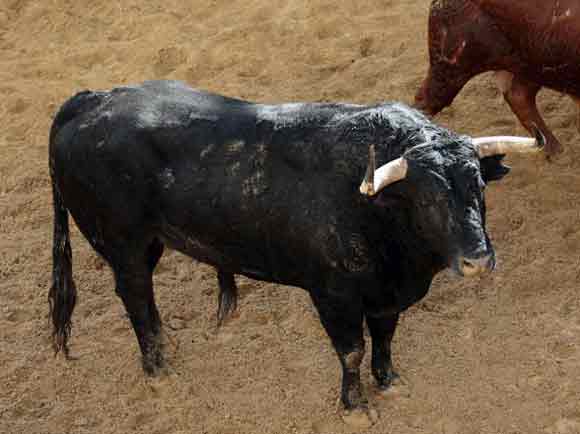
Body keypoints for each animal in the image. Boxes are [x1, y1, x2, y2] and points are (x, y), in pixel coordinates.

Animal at [47, 79, 540, 422]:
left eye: (479, 187)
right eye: (426, 199)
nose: (478, 261)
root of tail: (91, 100)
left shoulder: (386, 295)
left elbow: (384, 338)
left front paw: (389, 382)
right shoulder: (334, 296)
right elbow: (352, 350)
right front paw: (355, 407)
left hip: (148, 242)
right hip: (123, 243)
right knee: (134, 294)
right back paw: (158, 371)